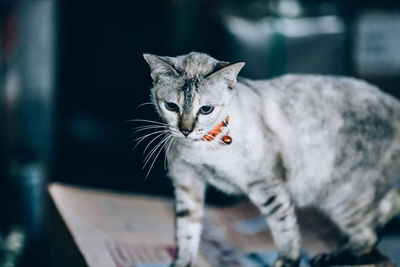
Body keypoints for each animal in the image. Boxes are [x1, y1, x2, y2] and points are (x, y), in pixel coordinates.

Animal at [142, 52, 400, 267]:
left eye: (206, 109)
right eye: (171, 106)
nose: (185, 131)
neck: (202, 147)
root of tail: (393, 102)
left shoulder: (267, 186)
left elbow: (284, 228)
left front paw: (288, 261)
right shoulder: (187, 183)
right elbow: (186, 233)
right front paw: (181, 264)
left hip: (342, 198)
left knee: (369, 235)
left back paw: (329, 257)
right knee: (380, 219)